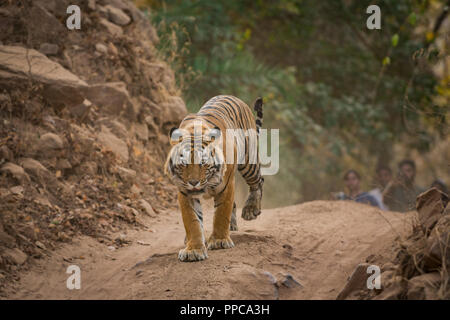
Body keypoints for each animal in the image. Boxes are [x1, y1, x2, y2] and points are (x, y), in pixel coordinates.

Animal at [164, 95, 264, 262]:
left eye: (203, 162)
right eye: (184, 162)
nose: (193, 183)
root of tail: (233, 97)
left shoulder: (226, 186)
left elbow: (221, 213)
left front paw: (219, 241)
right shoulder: (184, 192)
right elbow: (192, 221)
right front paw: (193, 249)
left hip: (249, 161)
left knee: (258, 182)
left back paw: (250, 210)